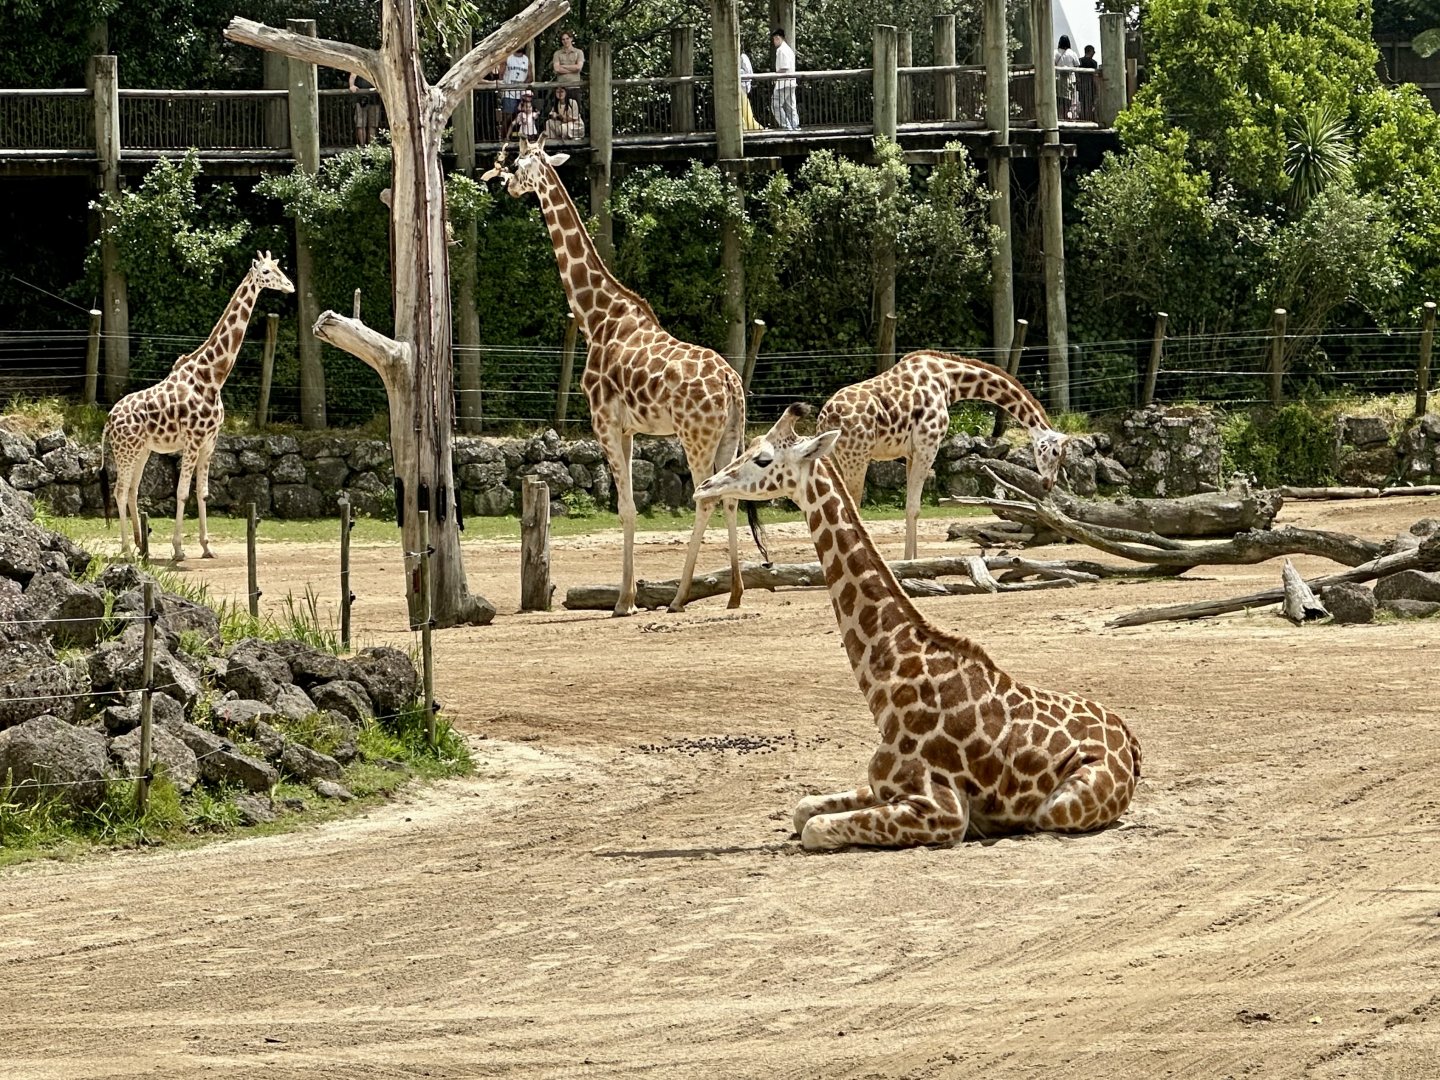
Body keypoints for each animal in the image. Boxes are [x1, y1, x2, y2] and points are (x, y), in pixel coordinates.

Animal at [102, 252, 295, 561]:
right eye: (266, 272)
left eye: (279, 268)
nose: (290, 286)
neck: (212, 376)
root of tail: (108, 419)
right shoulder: (192, 440)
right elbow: (182, 493)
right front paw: (179, 549)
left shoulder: (210, 442)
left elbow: (203, 492)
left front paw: (206, 546)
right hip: (126, 450)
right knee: (119, 491)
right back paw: (127, 550)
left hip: (142, 450)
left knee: (131, 491)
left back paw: (141, 546)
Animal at [485, 136, 753, 616]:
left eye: (517, 162)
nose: (511, 187)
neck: (597, 317)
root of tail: (732, 384)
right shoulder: (627, 428)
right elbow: (628, 506)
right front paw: (627, 595)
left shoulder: (604, 421)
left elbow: (626, 507)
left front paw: (624, 601)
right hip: (729, 434)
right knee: (729, 496)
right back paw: (736, 592)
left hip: (696, 436)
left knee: (705, 497)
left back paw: (679, 598)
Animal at [694, 404, 1141, 850]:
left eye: (762, 459)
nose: (704, 487)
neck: (888, 683)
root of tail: (1133, 746)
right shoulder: (882, 786)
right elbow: (803, 808)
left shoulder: (943, 811)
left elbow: (814, 828)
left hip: (1060, 806)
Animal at [817, 350, 1072, 560]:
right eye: (1055, 452)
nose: (1048, 483)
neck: (949, 380)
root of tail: (827, 417)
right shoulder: (928, 446)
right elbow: (914, 507)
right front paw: (908, 561)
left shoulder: (911, 453)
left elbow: (912, 507)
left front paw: (912, 559)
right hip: (857, 457)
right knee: (851, 507)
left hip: (835, 459)